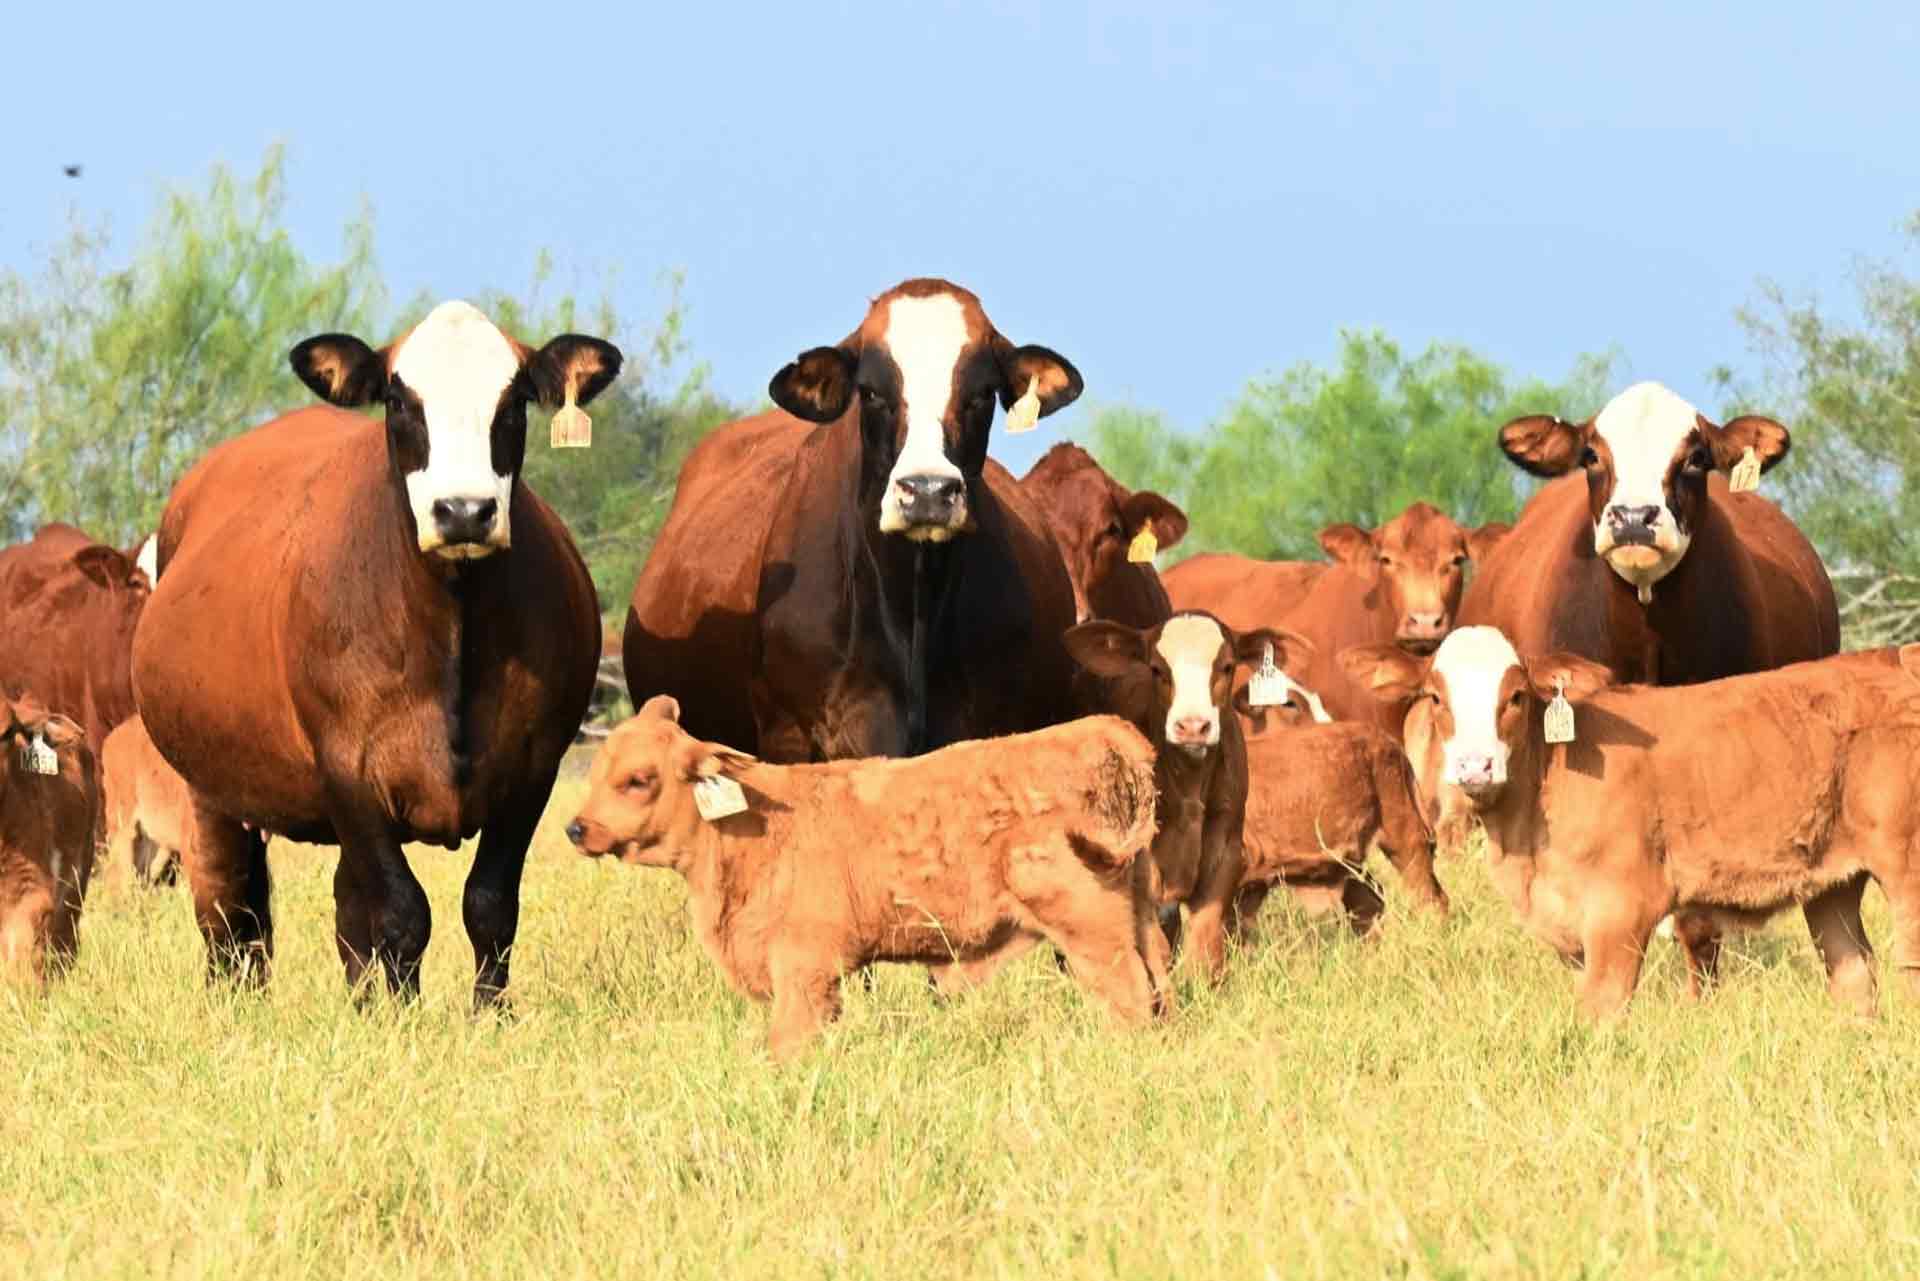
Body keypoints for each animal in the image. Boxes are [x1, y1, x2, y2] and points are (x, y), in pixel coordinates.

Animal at [131, 300, 619, 1004]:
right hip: (209, 786)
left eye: (515, 399)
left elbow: (488, 907)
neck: (451, 623)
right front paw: (404, 1018)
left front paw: (486, 1016)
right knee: (228, 903)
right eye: (398, 399)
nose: (463, 511)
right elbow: (400, 913)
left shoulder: (534, 768)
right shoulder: (347, 770)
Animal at [566, 696, 1166, 1060]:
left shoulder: (805, 971)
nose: (576, 828)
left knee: (1130, 997)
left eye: (638, 779)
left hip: (1092, 930)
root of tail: (1102, 731)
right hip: (1139, 919)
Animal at [1344, 628, 1920, 1019]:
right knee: (1853, 972)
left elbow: (1600, 1008)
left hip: (1907, 867)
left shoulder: (1622, 908)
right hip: (1833, 884)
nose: (1475, 766)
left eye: (1515, 697)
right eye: (1436, 697)